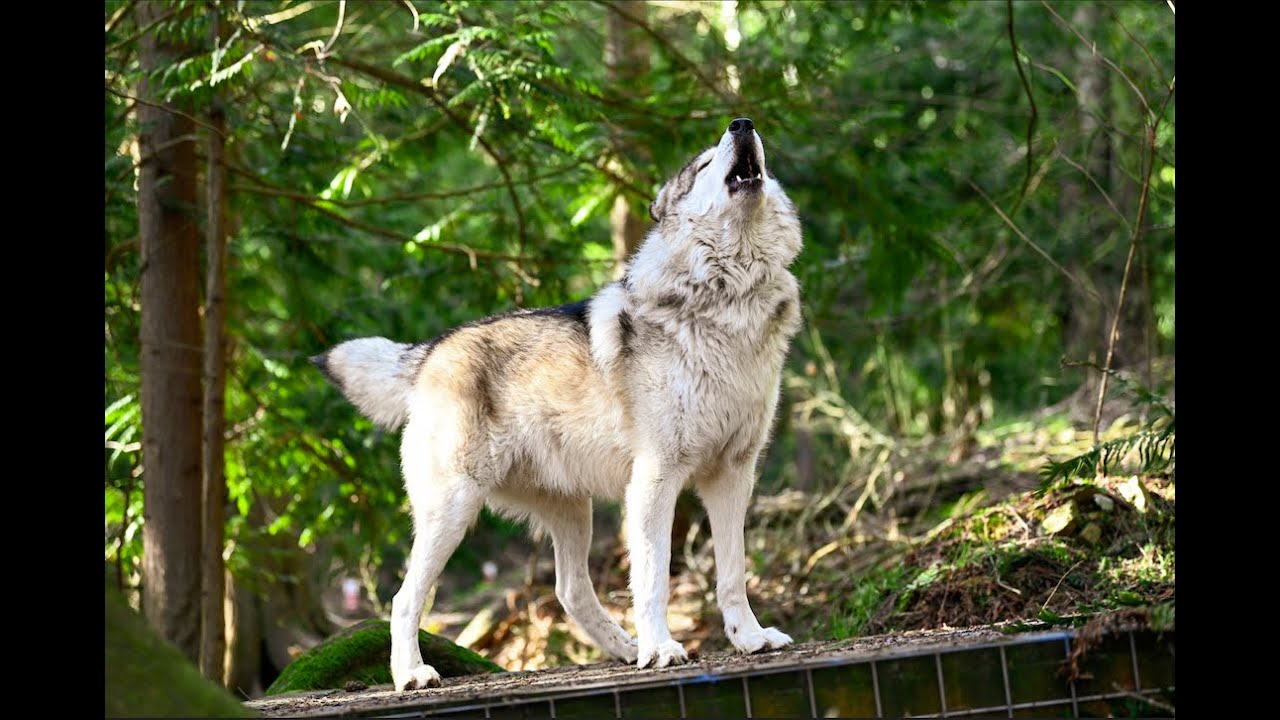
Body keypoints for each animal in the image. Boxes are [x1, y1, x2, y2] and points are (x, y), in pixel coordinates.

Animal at [312, 118, 804, 691]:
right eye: (704, 164)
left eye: (749, 148)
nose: (742, 124)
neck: (729, 300)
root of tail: (431, 351)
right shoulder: (656, 478)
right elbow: (654, 577)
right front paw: (662, 649)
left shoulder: (732, 477)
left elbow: (732, 574)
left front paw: (750, 639)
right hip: (454, 511)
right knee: (403, 597)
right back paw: (412, 674)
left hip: (573, 513)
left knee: (570, 591)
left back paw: (624, 649)